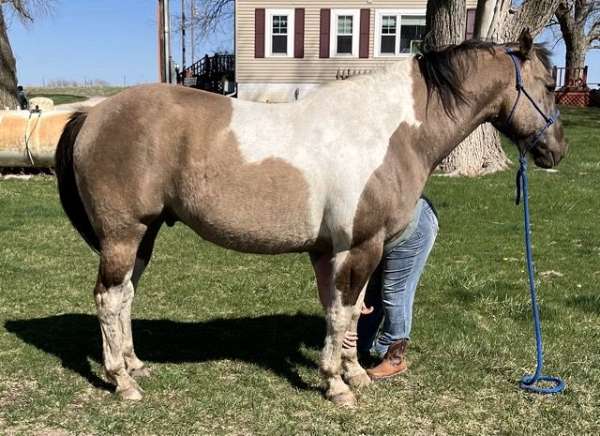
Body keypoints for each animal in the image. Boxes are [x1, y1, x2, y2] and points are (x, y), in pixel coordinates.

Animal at [54, 29, 564, 406]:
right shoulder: (360, 246)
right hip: (123, 235)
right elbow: (344, 313)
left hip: (145, 235)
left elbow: (348, 312)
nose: (556, 150)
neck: (384, 131)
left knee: (125, 297)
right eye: (548, 84)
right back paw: (121, 381)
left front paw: (354, 373)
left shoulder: (333, 251)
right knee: (108, 299)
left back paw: (134, 364)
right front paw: (337, 386)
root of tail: (93, 114)